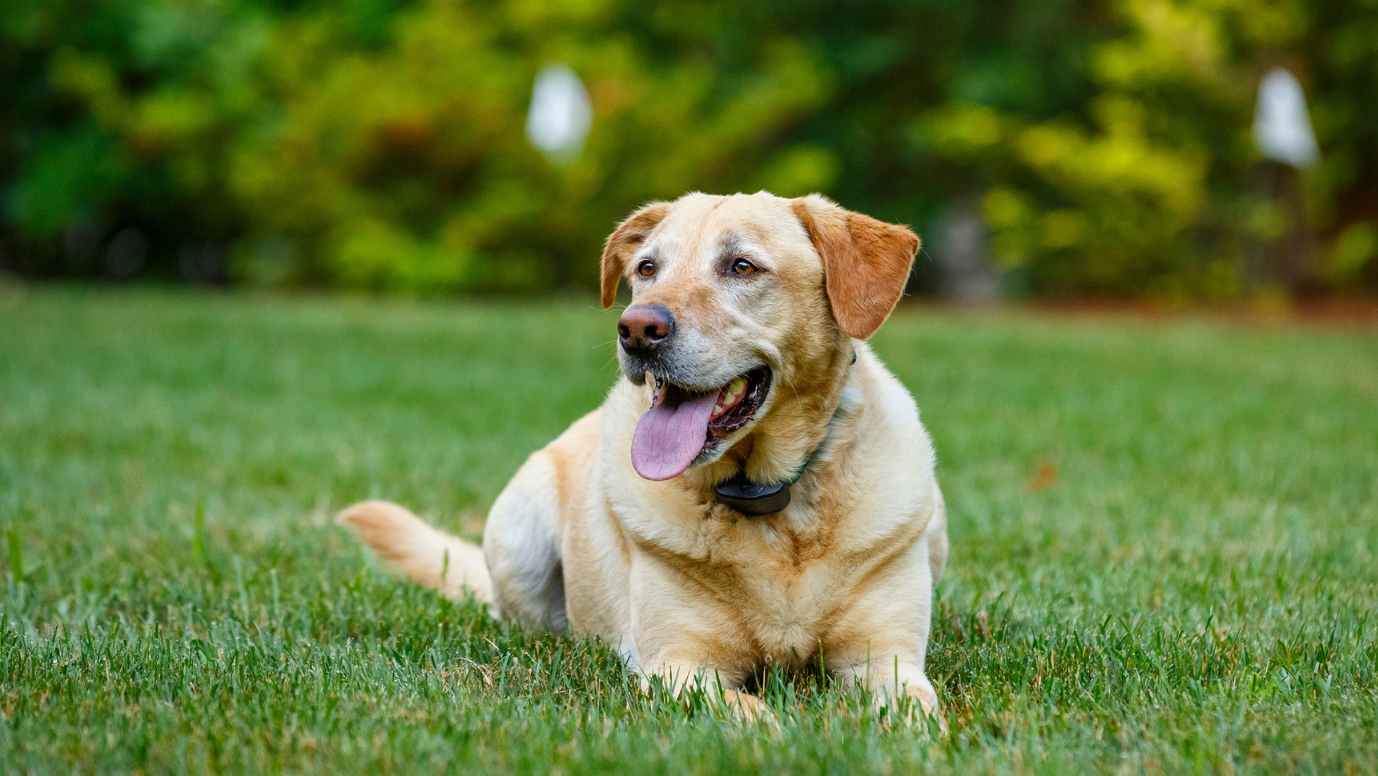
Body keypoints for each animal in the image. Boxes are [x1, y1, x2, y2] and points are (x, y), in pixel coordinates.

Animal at [343, 191, 948, 727]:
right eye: (647, 268)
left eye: (742, 266)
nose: (636, 327)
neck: (770, 498)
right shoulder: (679, 667)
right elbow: (751, 716)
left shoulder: (888, 661)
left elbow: (914, 712)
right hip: (520, 536)